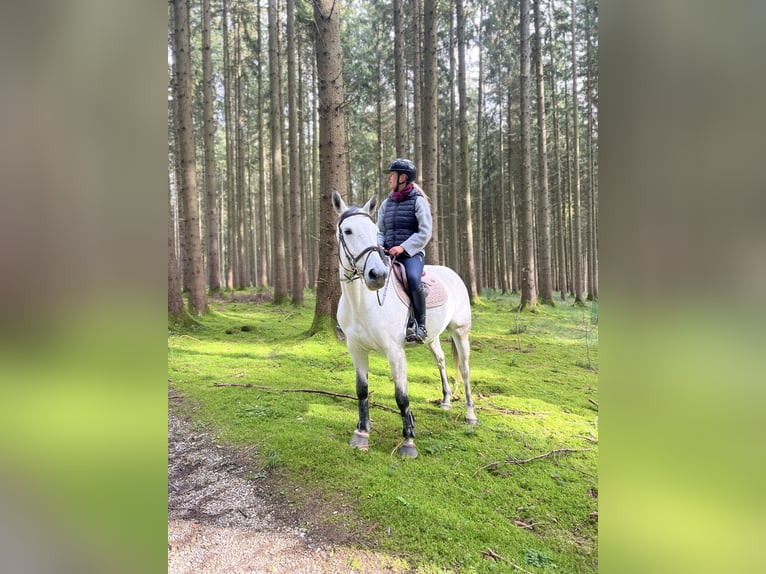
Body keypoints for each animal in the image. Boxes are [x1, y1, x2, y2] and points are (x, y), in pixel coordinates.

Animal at [332, 191, 476, 458]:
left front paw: (409, 441)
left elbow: (402, 396)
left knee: (464, 370)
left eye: (374, 230)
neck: (363, 303)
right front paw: (361, 434)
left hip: (460, 333)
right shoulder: (356, 349)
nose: (377, 275)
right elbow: (361, 389)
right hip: (432, 337)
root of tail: (453, 273)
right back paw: (445, 401)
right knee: (441, 361)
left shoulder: (395, 352)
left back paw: (471, 415)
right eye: (347, 230)